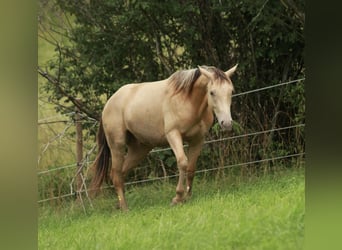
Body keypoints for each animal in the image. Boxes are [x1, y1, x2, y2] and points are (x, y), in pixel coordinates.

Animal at [89, 63, 236, 210]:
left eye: (231, 91)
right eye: (212, 92)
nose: (227, 123)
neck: (187, 100)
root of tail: (108, 104)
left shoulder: (197, 140)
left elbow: (191, 168)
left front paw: (187, 197)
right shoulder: (173, 135)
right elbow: (182, 162)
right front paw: (178, 197)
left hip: (140, 149)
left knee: (120, 173)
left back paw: (119, 204)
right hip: (117, 146)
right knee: (116, 174)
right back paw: (125, 208)